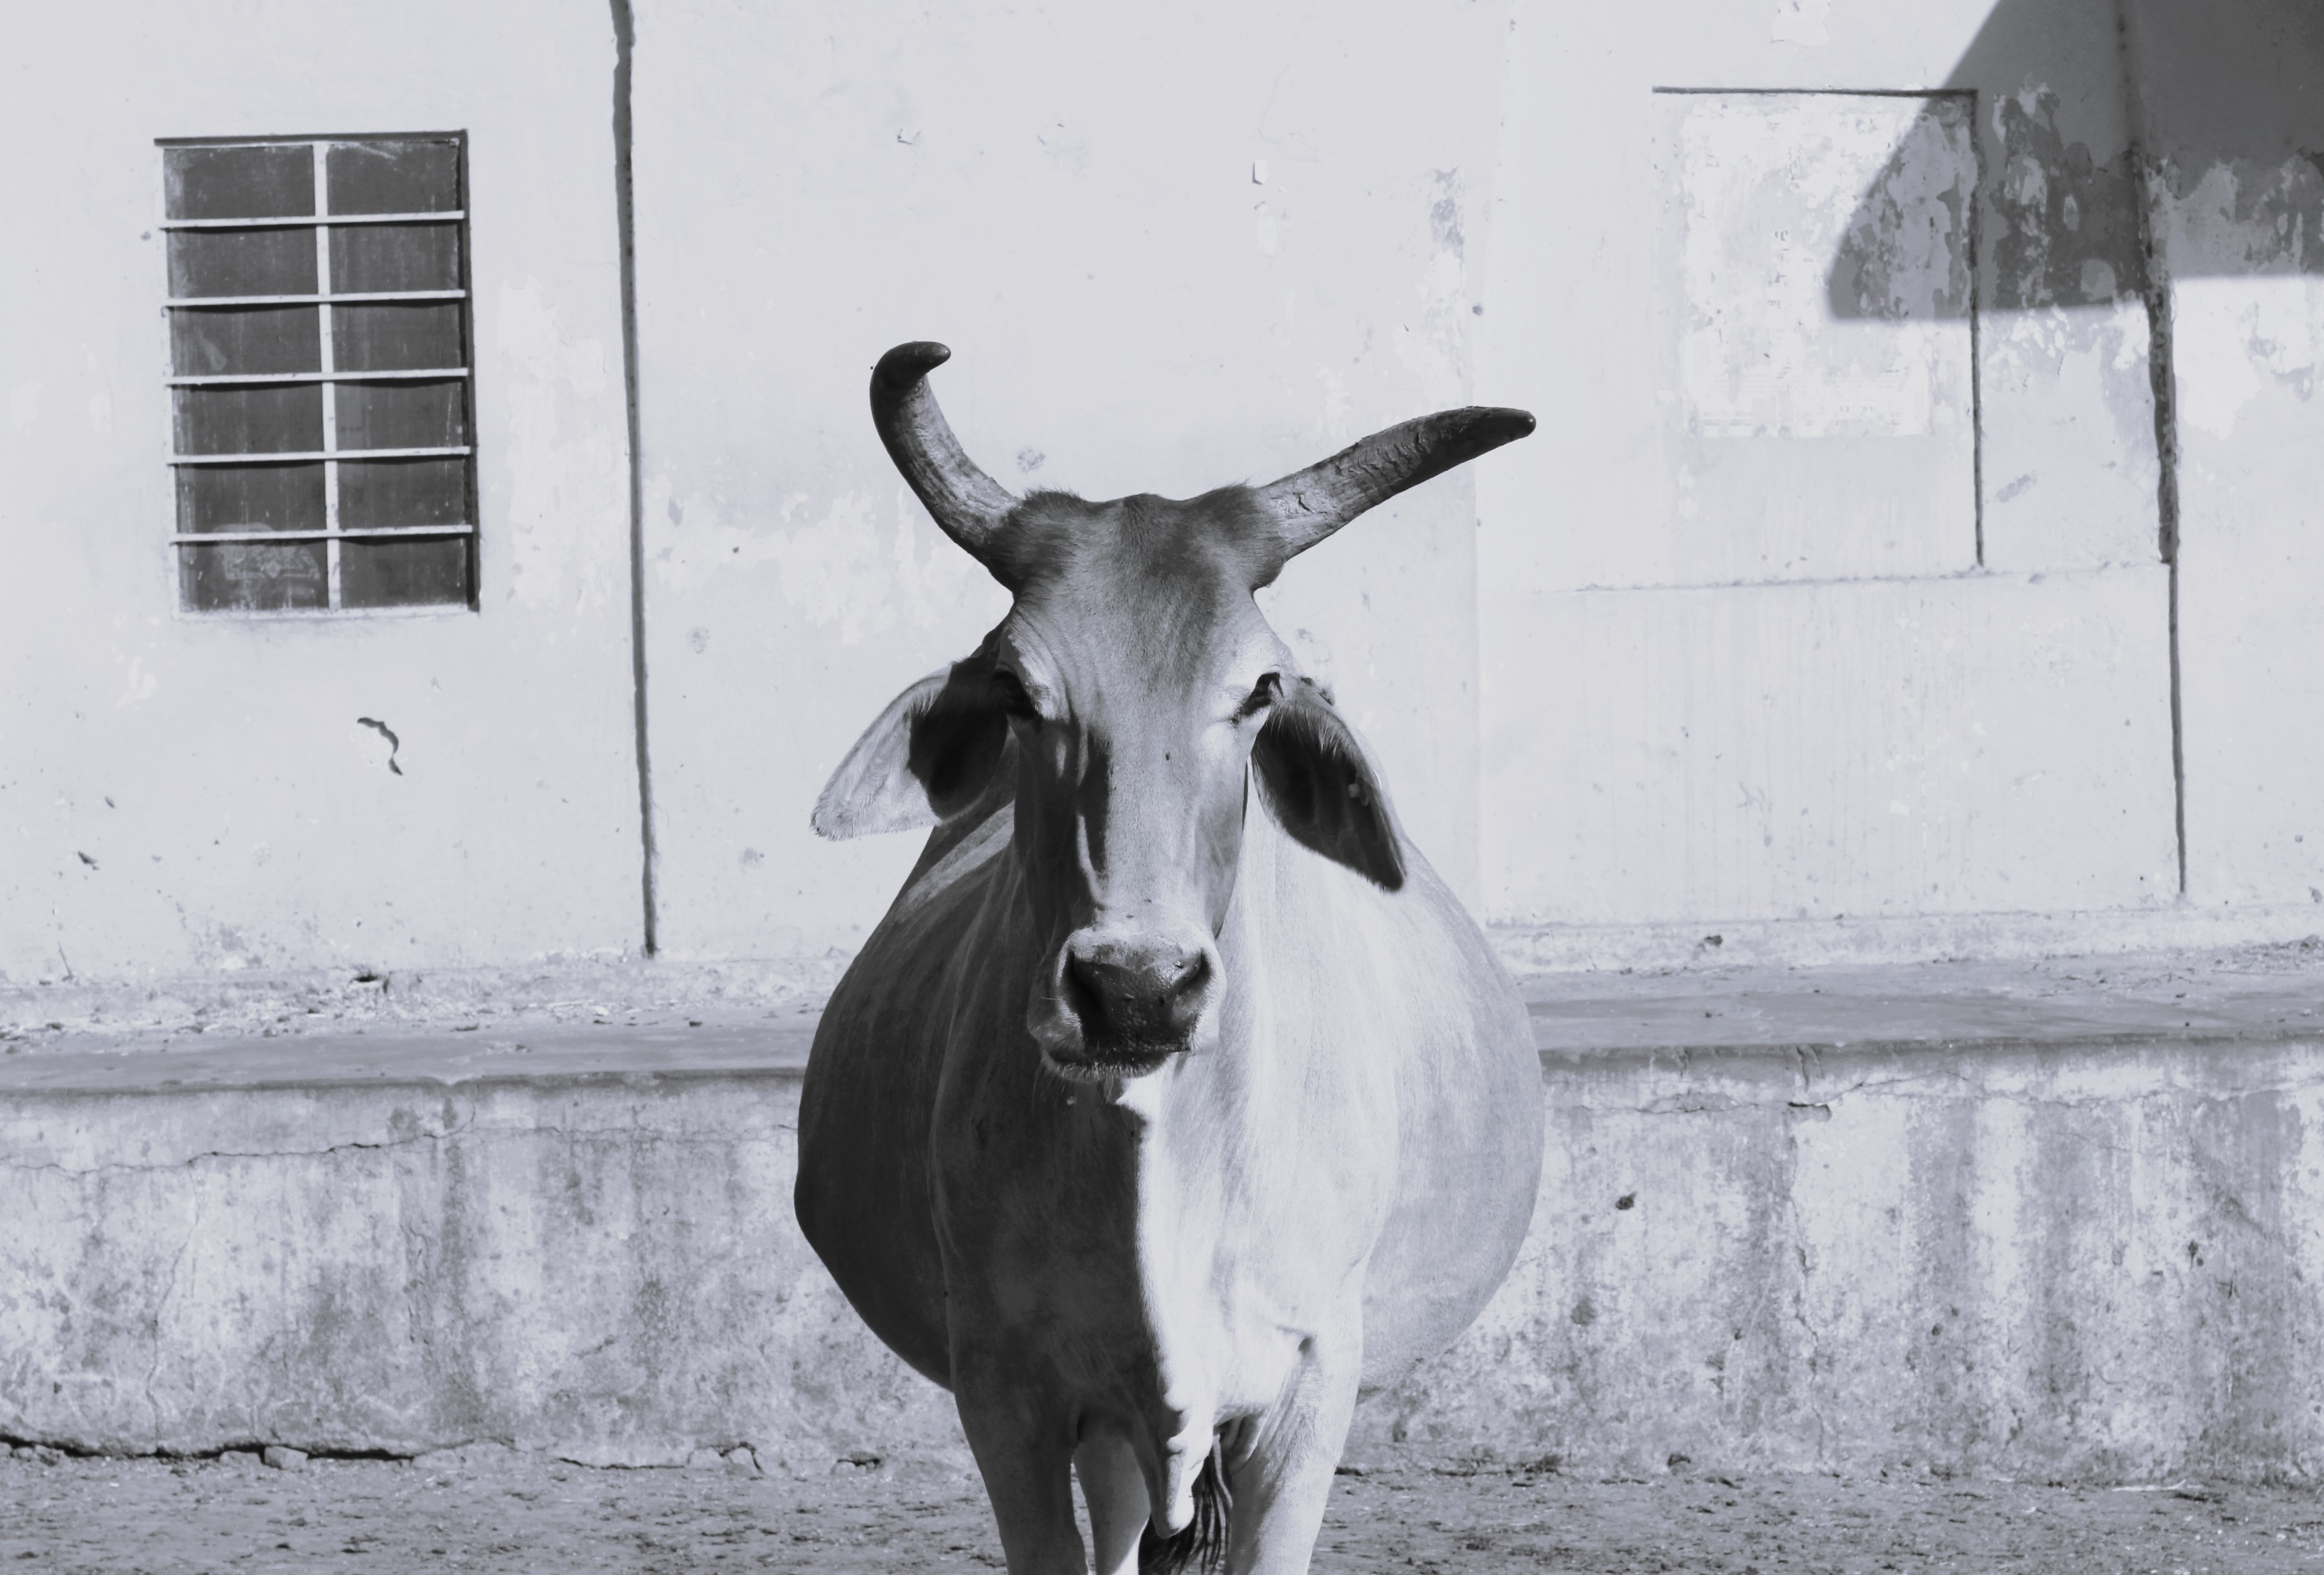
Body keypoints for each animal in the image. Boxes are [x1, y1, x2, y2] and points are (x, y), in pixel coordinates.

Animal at [797, 342, 1544, 1575]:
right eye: (1018, 689)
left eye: (1261, 687)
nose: (1132, 991)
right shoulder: (1008, 1393)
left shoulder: (1305, 1391)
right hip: (1110, 1431)